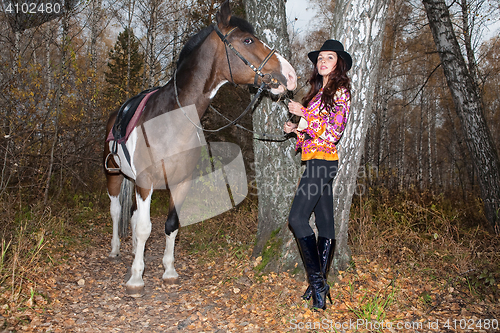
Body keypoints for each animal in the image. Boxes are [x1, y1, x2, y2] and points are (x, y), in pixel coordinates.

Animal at [103, 1, 294, 294]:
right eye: (248, 40)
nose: (291, 75)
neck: (172, 120)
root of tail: (117, 113)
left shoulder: (180, 182)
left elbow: (170, 225)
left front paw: (168, 270)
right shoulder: (146, 182)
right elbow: (146, 227)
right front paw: (136, 278)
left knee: (133, 216)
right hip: (114, 175)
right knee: (116, 211)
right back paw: (115, 250)